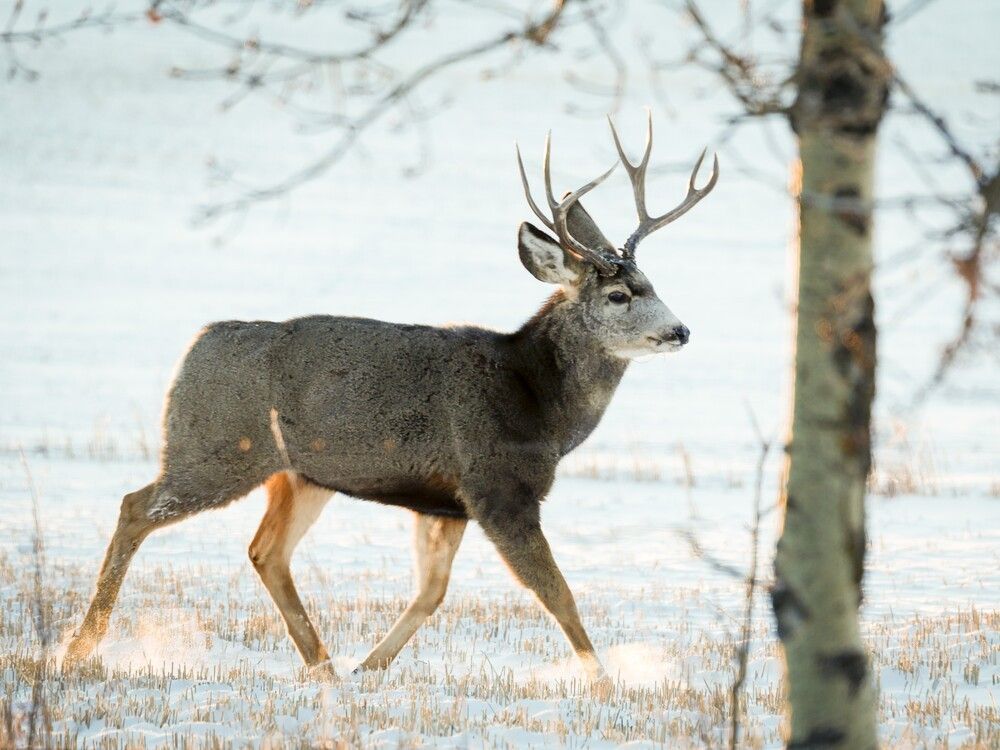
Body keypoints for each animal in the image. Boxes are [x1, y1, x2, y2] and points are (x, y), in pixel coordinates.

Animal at [64, 114, 720, 692]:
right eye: (619, 294)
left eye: (653, 284)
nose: (681, 330)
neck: (541, 406)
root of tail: (194, 346)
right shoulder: (497, 484)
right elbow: (557, 592)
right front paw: (606, 681)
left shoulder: (445, 502)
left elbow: (431, 593)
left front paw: (369, 667)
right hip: (217, 447)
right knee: (135, 507)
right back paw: (79, 647)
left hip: (299, 473)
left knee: (264, 551)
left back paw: (324, 665)